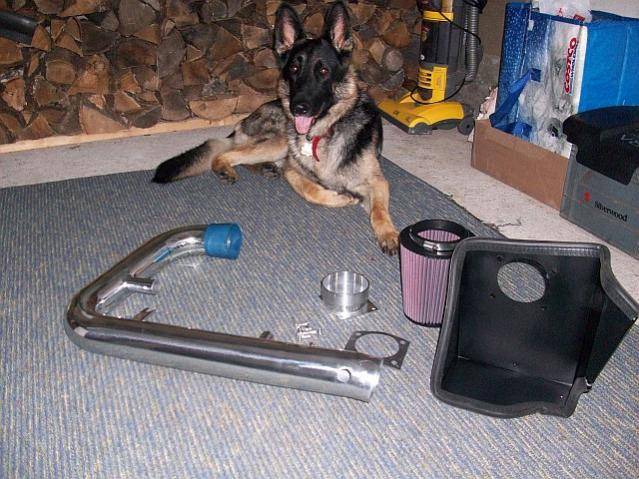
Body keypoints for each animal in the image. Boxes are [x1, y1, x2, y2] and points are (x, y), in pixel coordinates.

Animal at [153, 1, 399, 255]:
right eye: (294, 69)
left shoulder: (377, 181)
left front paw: (388, 233)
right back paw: (232, 168)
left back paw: (265, 168)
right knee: (226, 154)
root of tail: (247, 118)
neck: (324, 133)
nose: (298, 108)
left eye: (323, 71)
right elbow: (310, 191)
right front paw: (341, 198)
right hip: (280, 142)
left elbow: (379, 210)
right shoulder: (293, 170)